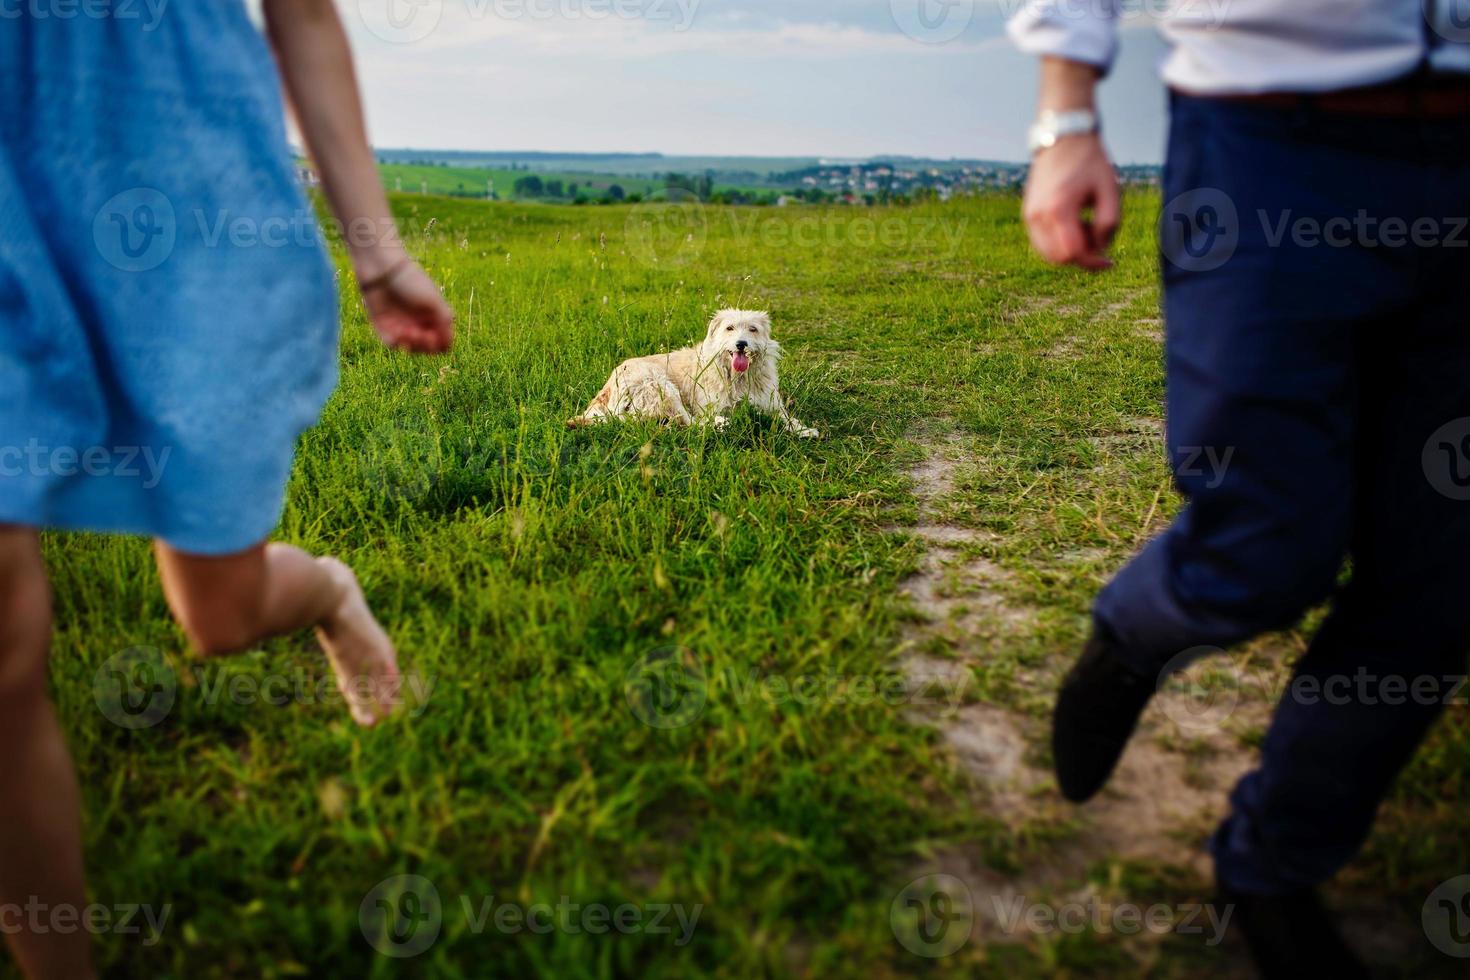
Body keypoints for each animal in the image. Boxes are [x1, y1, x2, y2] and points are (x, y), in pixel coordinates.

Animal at [564, 312, 823, 437]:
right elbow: (703, 417)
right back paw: (721, 424)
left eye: (753, 329)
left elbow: (786, 417)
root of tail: (605, 391)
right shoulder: (710, 405)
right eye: (729, 328)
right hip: (661, 387)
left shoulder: (769, 402)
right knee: (689, 422)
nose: (741, 344)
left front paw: (803, 429)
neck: (736, 376)